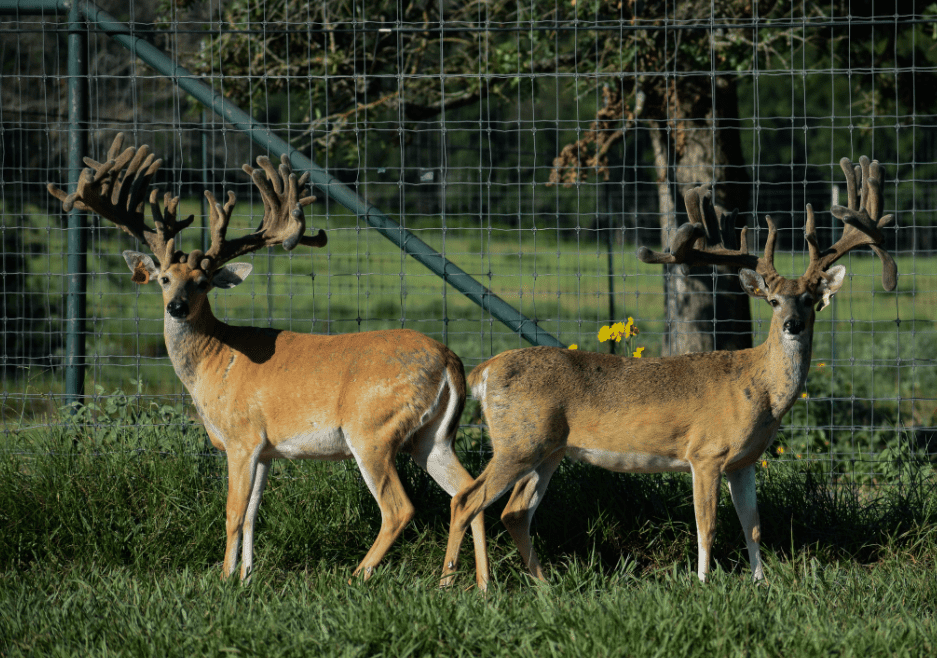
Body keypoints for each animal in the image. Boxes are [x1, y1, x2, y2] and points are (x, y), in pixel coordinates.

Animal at [48, 133, 489, 588]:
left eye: (203, 282)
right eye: (165, 279)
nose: (176, 307)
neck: (214, 359)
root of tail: (451, 361)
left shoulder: (241, 437)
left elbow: (232, 513)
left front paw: (223, 578)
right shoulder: (265, 449)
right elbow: (252, 514)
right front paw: (246, 577)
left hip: (373, 428)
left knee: (400, 508)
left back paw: (357, 576)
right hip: (432, 435)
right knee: (470, 492)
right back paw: (471, 583)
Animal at [440, 156, 896, 586]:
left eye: (809, 299)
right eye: (773, 301)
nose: (792, 325)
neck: (760, 391)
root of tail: (483, 371)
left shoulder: (744, 462)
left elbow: (753, 526)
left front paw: (760, 583)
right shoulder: (706, 452)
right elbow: (707, 527)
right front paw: (703, 583)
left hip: (547, 450)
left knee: (514, 512)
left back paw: (544, 585)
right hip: (518, 441)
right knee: (466, 499)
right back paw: (457, 585)